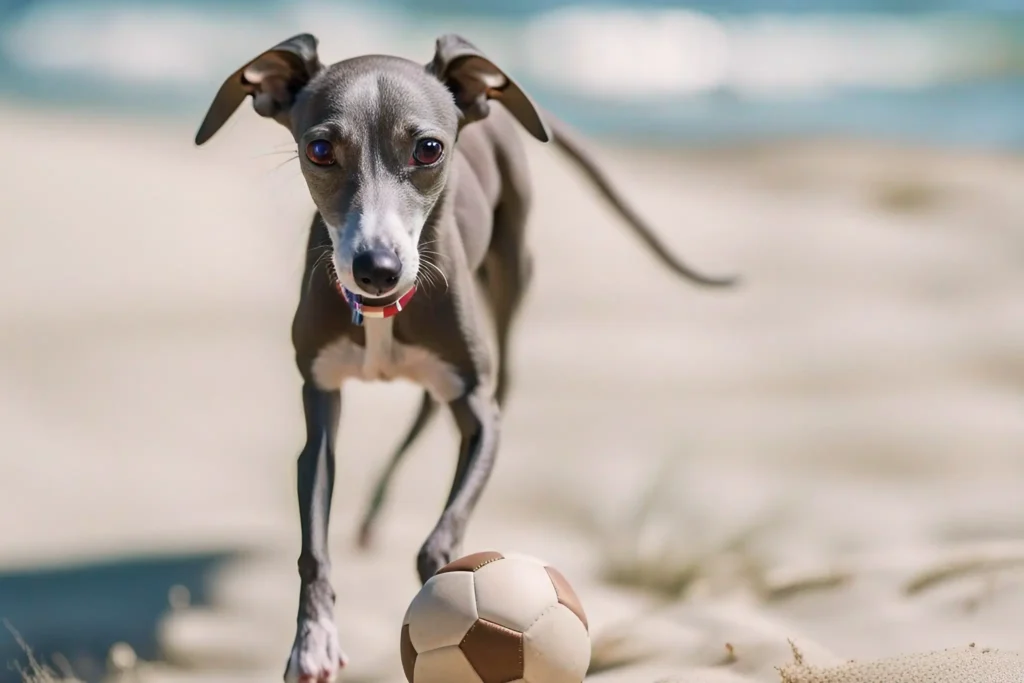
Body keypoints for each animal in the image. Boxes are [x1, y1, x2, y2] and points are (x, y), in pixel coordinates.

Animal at [193, 31, 737, 683]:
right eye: (320, 150)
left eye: (429, 149)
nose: (377, 269)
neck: (384, 316)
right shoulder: (320, 401)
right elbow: (314, 545)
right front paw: (313, 641)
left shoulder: (478, 409)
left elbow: (442, 535)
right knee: (427, 413)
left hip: (509, 288)